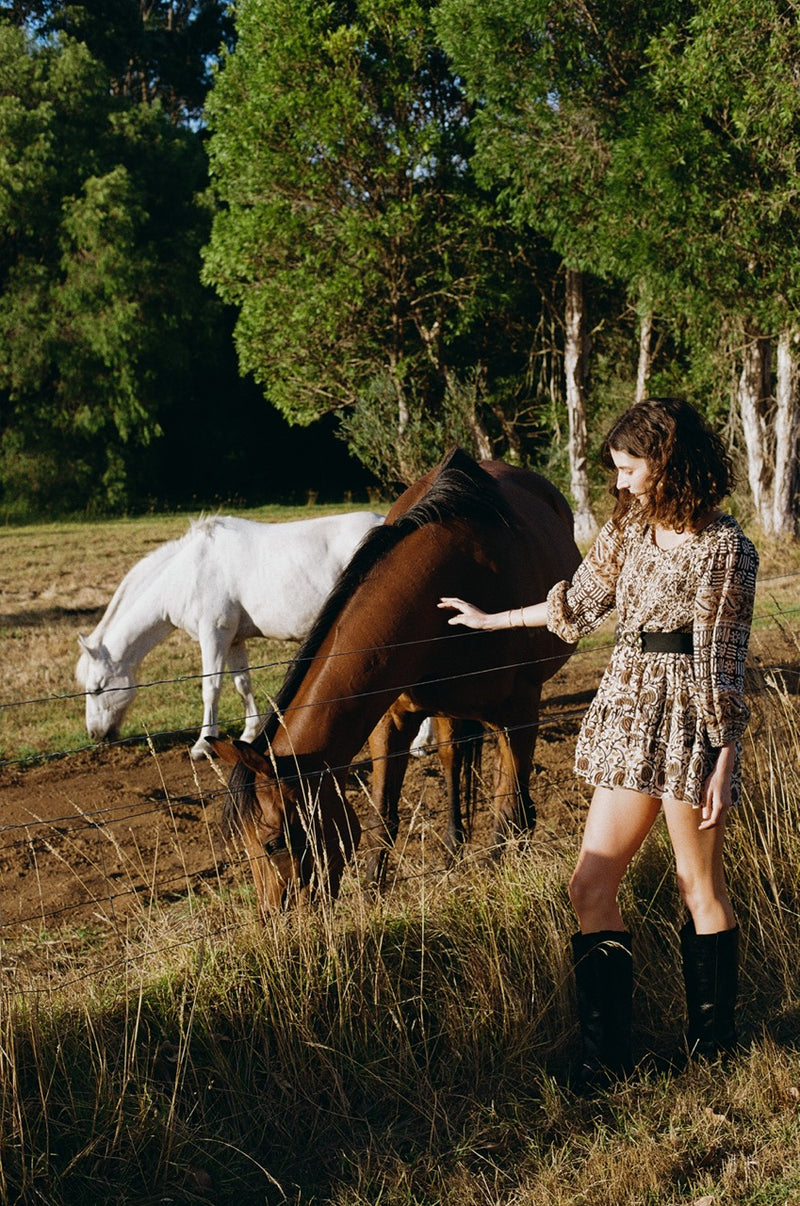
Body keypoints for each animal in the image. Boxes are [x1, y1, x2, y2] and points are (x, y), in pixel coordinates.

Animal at [76, 506, 386, 752]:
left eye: (97, 689)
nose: (95, 735)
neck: (188, 573)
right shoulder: (234, 640)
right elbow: (242, 684)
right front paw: (249, 734)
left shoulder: (214, 635)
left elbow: (211, 688)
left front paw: (203, 744)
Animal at [209, 451, 579, 911]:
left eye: (274, 842)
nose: (277, 917)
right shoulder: (392, 719)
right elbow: (382, 814)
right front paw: (372, 893)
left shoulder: (519, 710)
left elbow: (507, 805)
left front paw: (502, 872)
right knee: (452, 759)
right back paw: (453, 845)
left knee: (508, 790)